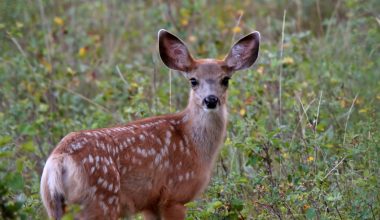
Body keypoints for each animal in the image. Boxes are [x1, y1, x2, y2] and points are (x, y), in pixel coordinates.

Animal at [40, 28, 260, 218]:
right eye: (193, 80)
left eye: (225, 79)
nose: (211, 100)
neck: (192, 142)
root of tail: (59, 161)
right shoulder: (175, 194)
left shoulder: (149, 202)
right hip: (100, 201)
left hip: (53, 204)